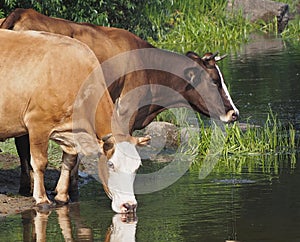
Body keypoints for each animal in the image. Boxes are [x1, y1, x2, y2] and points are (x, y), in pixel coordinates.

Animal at [0, 28, 150, 213]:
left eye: (137, 167)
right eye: (111, 165)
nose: (129, 205)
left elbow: (70, 160)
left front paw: (62, 196)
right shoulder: (38, 124)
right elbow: (40, 162)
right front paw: (42, 199)